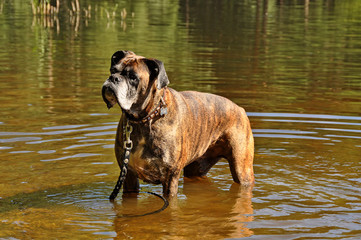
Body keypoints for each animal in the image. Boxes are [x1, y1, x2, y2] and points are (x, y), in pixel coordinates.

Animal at [101, 50, 253, 197]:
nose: (113, 78)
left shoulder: (170, 178)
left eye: (133, 77)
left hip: (242, 170)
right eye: (113, 70)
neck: (144, 118)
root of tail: (240, 109)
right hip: (196, 169)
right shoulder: (129, 178)